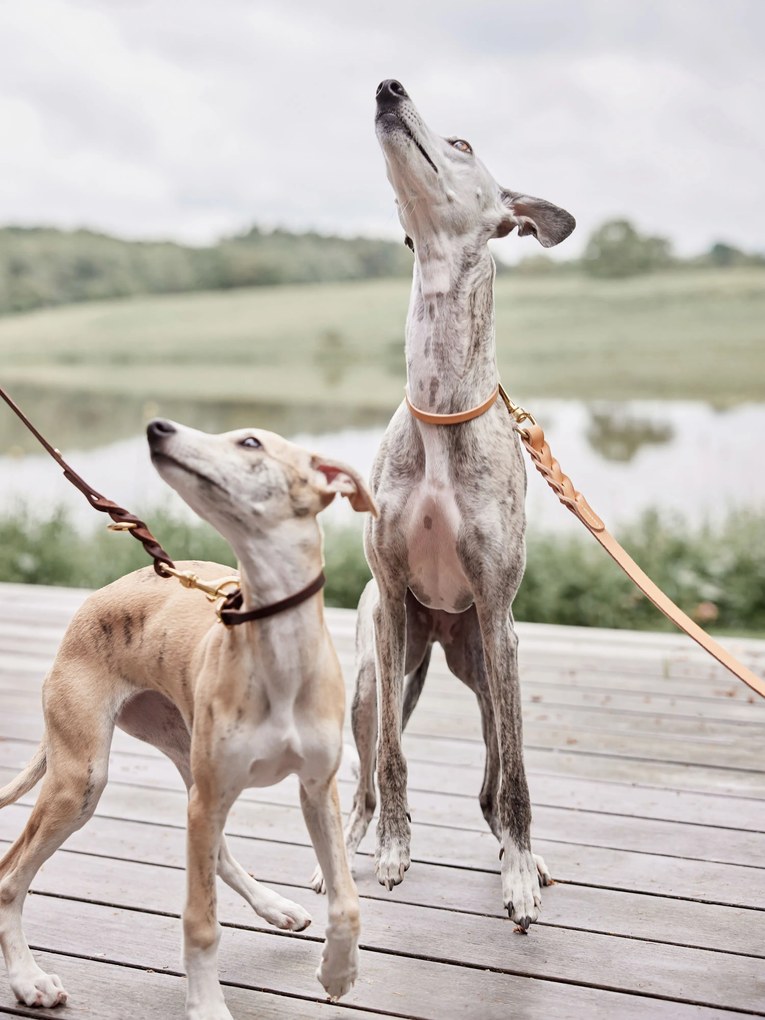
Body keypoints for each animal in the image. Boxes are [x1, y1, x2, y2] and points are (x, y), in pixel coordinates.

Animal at [316, 81, 575, 934]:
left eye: (462, 143)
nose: (387, 88)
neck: (439, 407)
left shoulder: (496, 612)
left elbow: (518, 776)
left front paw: (520, 874)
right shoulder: (394, 596)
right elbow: (393, 761)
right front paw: (395, 849)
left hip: (483, 660)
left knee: (494, 773)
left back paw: (518, 851)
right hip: (381, 670)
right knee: (366, 772)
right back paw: (355, 841)